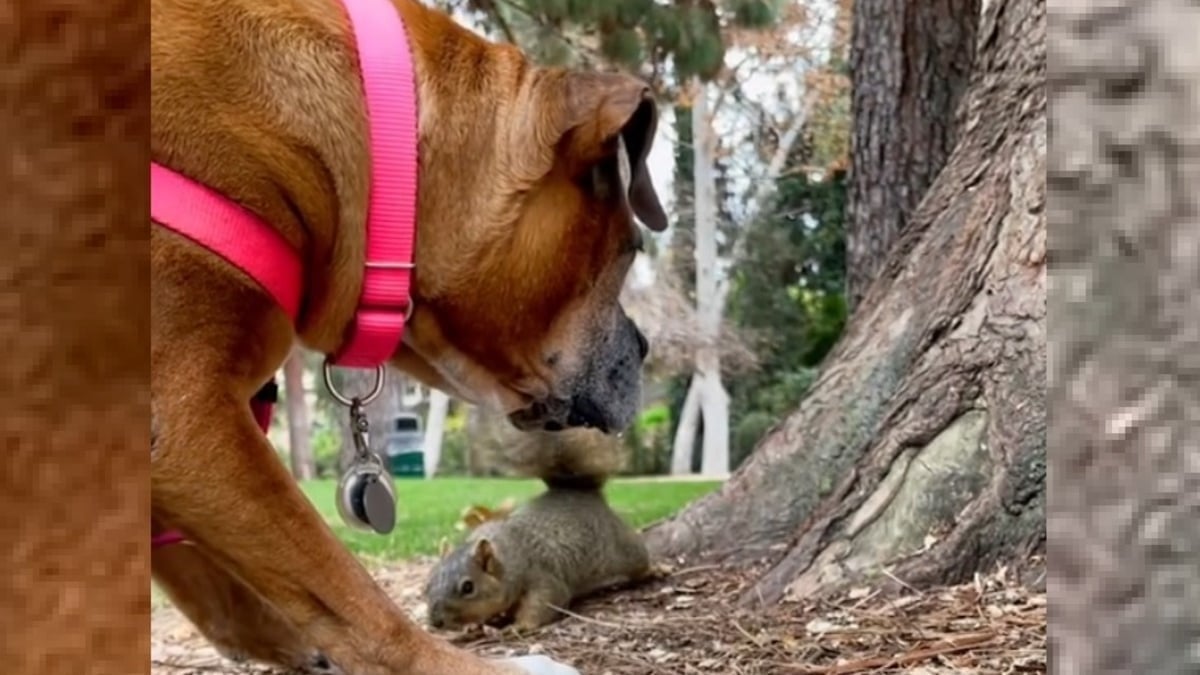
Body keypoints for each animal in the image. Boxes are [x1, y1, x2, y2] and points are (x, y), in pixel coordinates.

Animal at [424, 425, 657, 629]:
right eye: (428, 584)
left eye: (468, 587)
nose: (435, 622)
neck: (509, 559)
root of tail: (582, 492)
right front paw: (474, 626)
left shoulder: (539, 575)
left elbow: (545, 601)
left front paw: (519, 626)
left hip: (627, 549)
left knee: (641, 562)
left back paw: (656, 569)